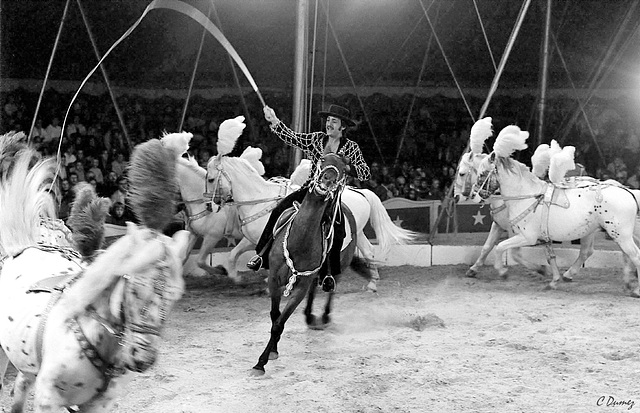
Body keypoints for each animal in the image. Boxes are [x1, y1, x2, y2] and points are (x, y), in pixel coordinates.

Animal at [0, 136, 190, 412]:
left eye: (175, 296)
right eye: (134, 287)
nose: (143, 358)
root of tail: (23, 248)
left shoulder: (99, 403)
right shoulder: (48, 398)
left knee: (21, 386)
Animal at [251, 153, 376, 374]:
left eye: (344, 169)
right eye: (322, 160)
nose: (327, 180)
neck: (300, 241)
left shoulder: (299, 288)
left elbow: (280, 322)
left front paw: (262, 361)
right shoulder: (274, 279)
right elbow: (275, 315)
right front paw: (272, 351)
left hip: (339, 266)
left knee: (331, 287)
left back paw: (323, 316)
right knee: (313, 290)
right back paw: (309, 316)